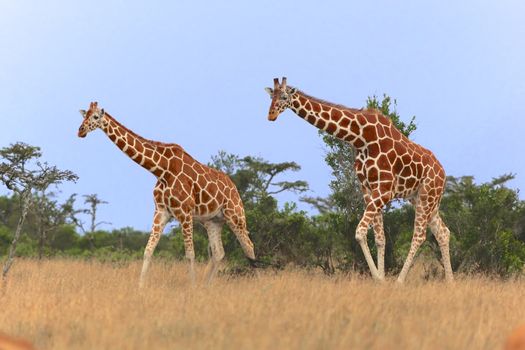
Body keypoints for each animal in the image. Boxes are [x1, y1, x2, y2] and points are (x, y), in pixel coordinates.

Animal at [78, 102, 256, 288]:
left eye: (95, 117)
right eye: (84, 115)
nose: (80, 131)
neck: (162, 170)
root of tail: (234, 187)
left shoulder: (185, 212)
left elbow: (189, 254)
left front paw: (192, 286)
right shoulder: (161, 211)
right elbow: (148, 250)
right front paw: (140, 286)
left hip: (235, 215)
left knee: (249, 246)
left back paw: (257, 282)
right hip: (213, 221)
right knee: (219, 252)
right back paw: (206, 286)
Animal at [264, 78, 452, 284]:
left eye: (284, 97)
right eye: (270, 97)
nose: (271, 115)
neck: (361, 137)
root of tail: (443, 173)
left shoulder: (384, 190)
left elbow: (360, 232)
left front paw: (379, 279)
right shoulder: (368, 189)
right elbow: (379, 238)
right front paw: (380, 278)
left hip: (427, 195)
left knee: (419, 236)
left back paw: (400, 282)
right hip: (422, 198)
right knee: (443, 232)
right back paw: (450, 282)